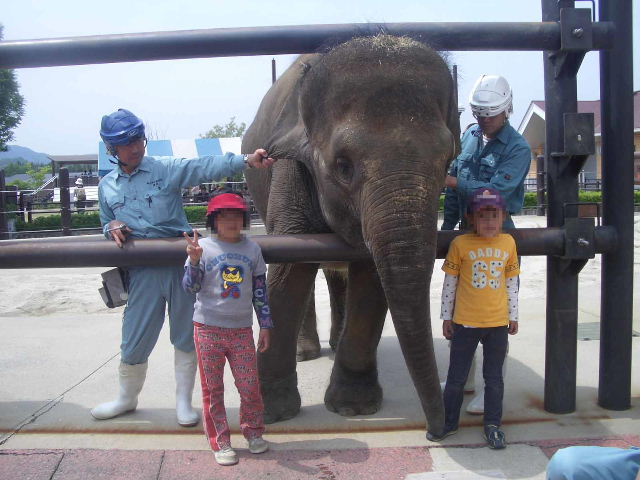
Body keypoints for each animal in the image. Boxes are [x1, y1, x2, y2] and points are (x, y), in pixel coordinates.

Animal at [244, 35, 460, 436]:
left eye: (447, 162)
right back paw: (307, 353)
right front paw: (272, 415)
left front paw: (353, 408)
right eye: (343, 166)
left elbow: (370, 275)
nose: (435, 431)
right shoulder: (289, 167)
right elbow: (288, 270)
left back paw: (334, 341)